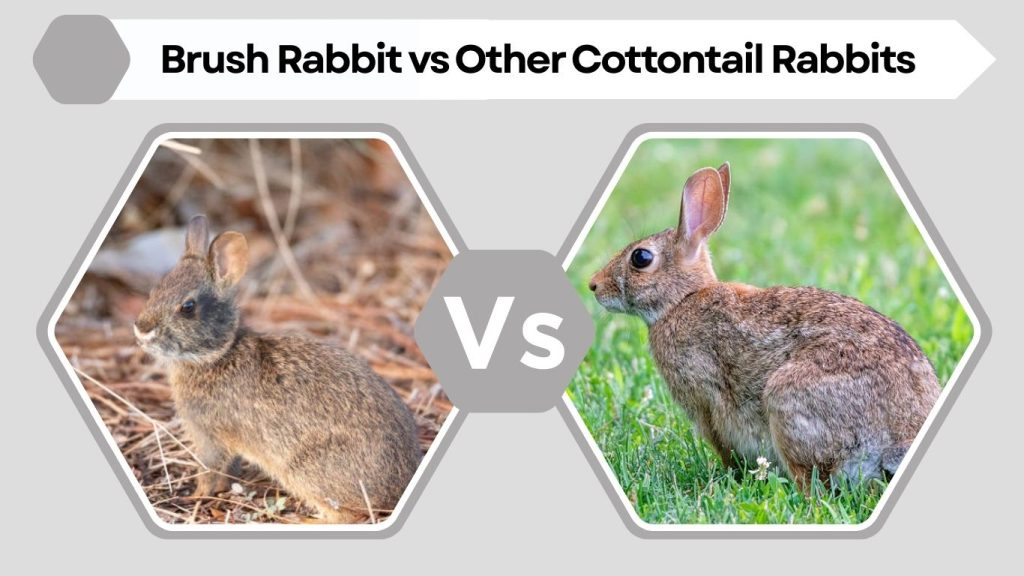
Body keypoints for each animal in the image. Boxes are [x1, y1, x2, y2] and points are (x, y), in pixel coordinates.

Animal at [133, 215, 421, 523]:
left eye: (188, 307)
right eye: (156, 289)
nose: (141, 329)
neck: (217, 354)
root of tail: (398, 488)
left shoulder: (210, 436)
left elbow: (209, 471)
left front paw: (197, 495)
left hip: (307, 471)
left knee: (348, 516)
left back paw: (303, 520)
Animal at [588, 163, 940, 491]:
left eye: (641, 258)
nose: (593, 285)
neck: (681, 301)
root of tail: (897, 436)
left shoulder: (706, 402)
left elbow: (722, 442)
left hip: (786, 402)